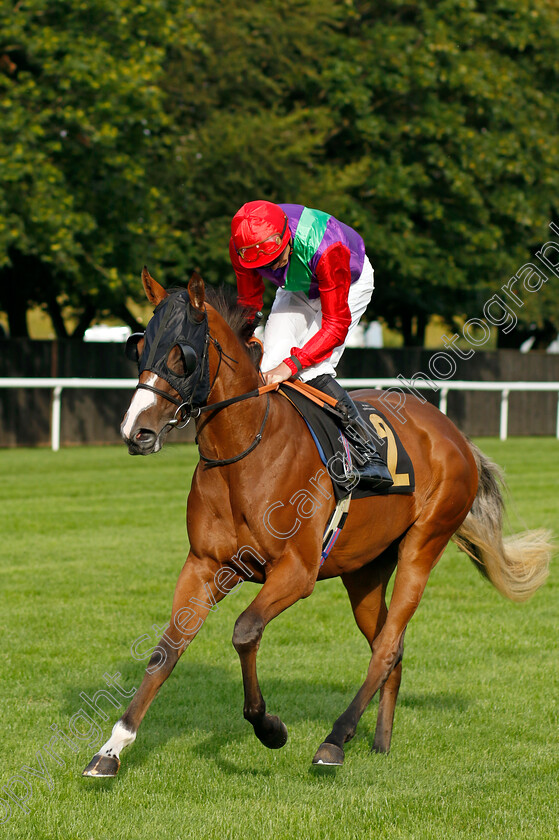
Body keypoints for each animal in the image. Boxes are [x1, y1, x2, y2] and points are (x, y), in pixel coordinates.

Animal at [82, 270, 552, 776]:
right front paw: (112, 748)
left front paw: (269, 727)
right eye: (139, 347)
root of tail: (454, 434)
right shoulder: (204, 565)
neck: (245, 452)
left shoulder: (297, 570)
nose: (136, 432)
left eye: (182, 355)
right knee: (390, 645)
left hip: (423, 545)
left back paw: (334, 740)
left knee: (387, 647)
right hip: (364, 572)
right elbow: (166, 650)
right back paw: (380, 742)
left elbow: (245, 631)